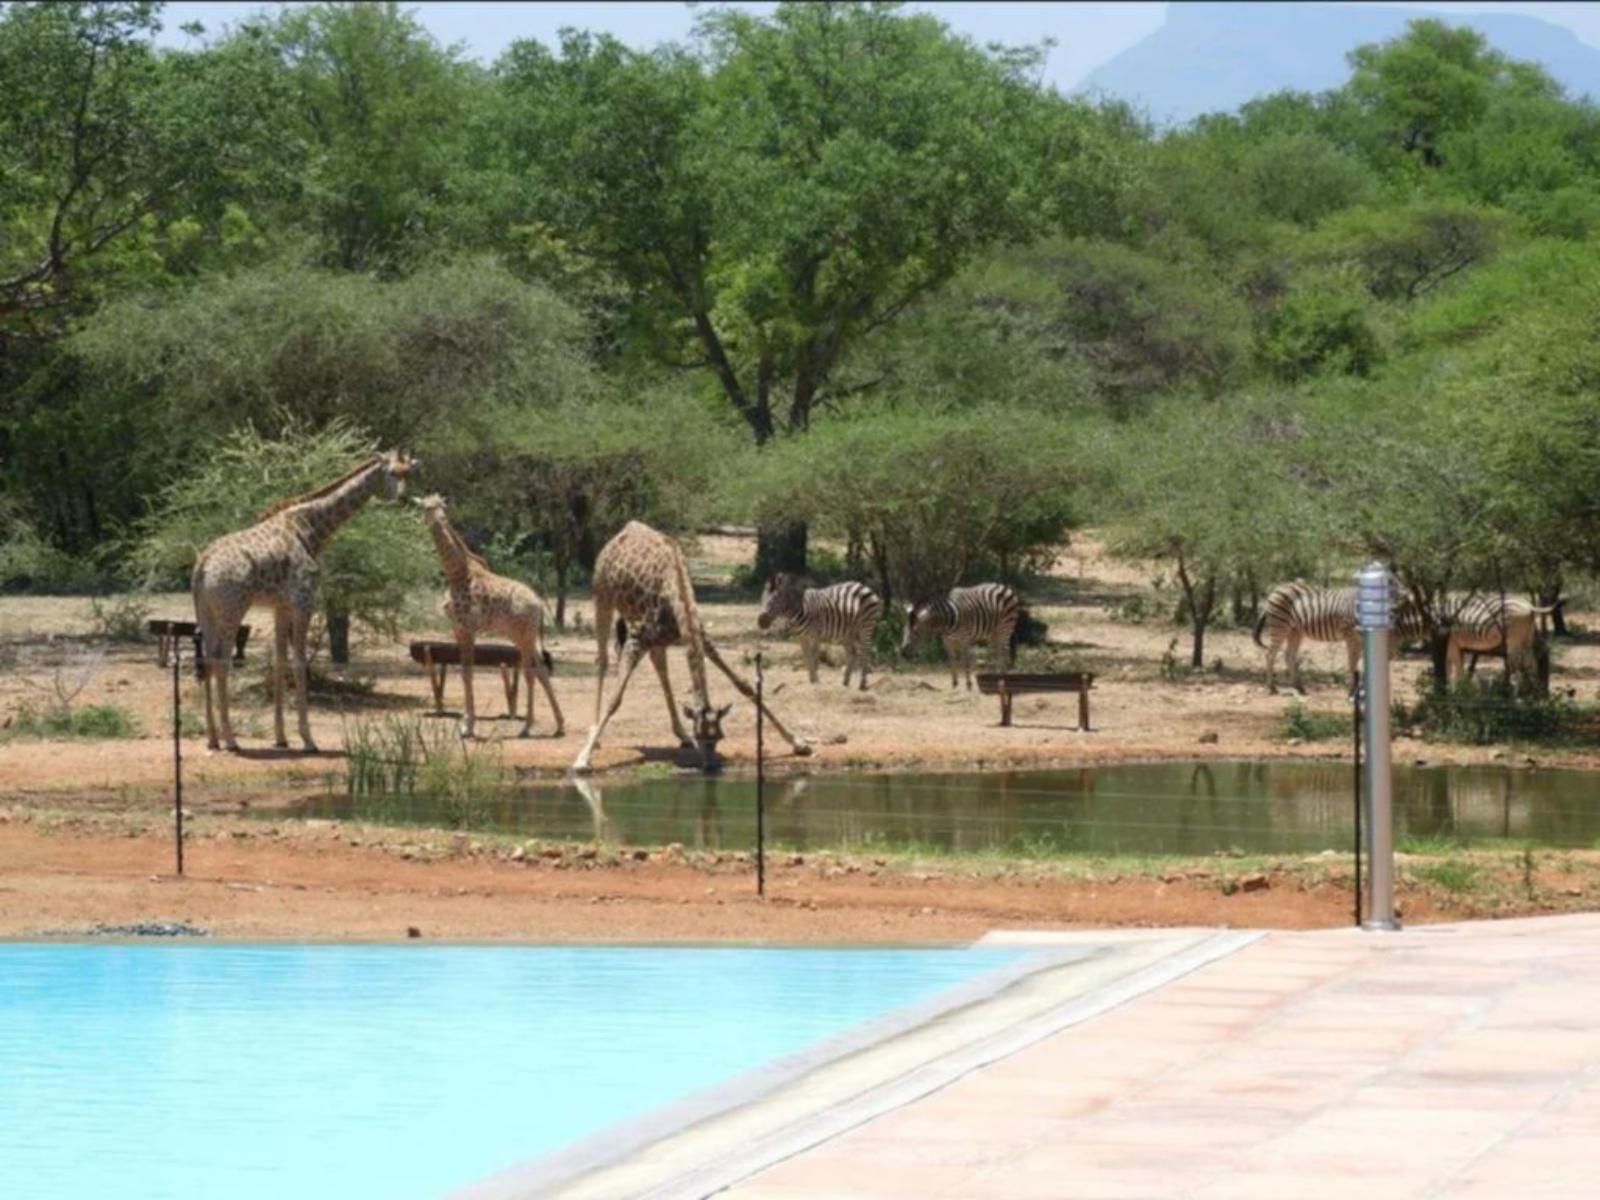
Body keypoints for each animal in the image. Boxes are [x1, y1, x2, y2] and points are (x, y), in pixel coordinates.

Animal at [189, 451, 416, 752]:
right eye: (391, 473)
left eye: (408, 472)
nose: (403, 499)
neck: (311, 529)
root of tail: (202, 565)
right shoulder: (304, 600)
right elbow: (299, 662)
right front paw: (308, 739)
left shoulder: (281, 606)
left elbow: (280, 661)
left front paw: (281, 737)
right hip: (233, 608)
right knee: (221, 660)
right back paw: (231, 739)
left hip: (206, 611)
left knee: (207, 660)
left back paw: (213, 738)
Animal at [422, 489, 566, 739]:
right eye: (426, 507)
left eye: (442, 506)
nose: (440, 520)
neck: (457, 574)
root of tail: (539, 604)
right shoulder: (457, 629)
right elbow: (464, 672)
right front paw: (466, 724)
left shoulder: (467, 628)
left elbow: (467, 672)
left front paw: (468, 727)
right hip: (523, 636)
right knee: (540, 670)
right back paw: (558, 725)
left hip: (524, 636)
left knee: (530, 672)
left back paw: (526, 727)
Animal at [572, 521, 812, 774]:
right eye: (701, 736)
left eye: (718, 737)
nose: (710, 767)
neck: (677, 594)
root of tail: (624, 530)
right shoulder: (637, 639)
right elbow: (615, 699)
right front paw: (582, 759)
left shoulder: (699, 638)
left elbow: (743, 685)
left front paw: (798, 742)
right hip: (602, 598)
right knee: (602, 660)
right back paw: (595, 736)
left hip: (653, 636)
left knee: (660, 667)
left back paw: (680, 733)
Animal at [755, 576, 883, 691]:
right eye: (761, 598)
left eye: (775, 599)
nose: (761, 622)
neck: (800, 609)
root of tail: (863, 586)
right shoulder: (801, 638)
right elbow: (807, 657)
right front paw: (811, 680)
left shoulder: (815, 636)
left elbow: (814, 657)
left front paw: (816, 681)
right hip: (847, 633)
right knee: (852, 653)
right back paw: (845, 682)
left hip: (866, 626)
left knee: (865, 652)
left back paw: (862, 683)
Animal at [1254, 582, 1433, 694]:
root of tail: (1276, 589)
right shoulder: (1350, 635)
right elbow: (1352, 662)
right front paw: (1353, 690)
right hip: (1280, 625)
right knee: (1270, 655)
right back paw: (1271, 688)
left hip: (1295, 630)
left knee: (1289, 655)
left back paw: (1299, 687)